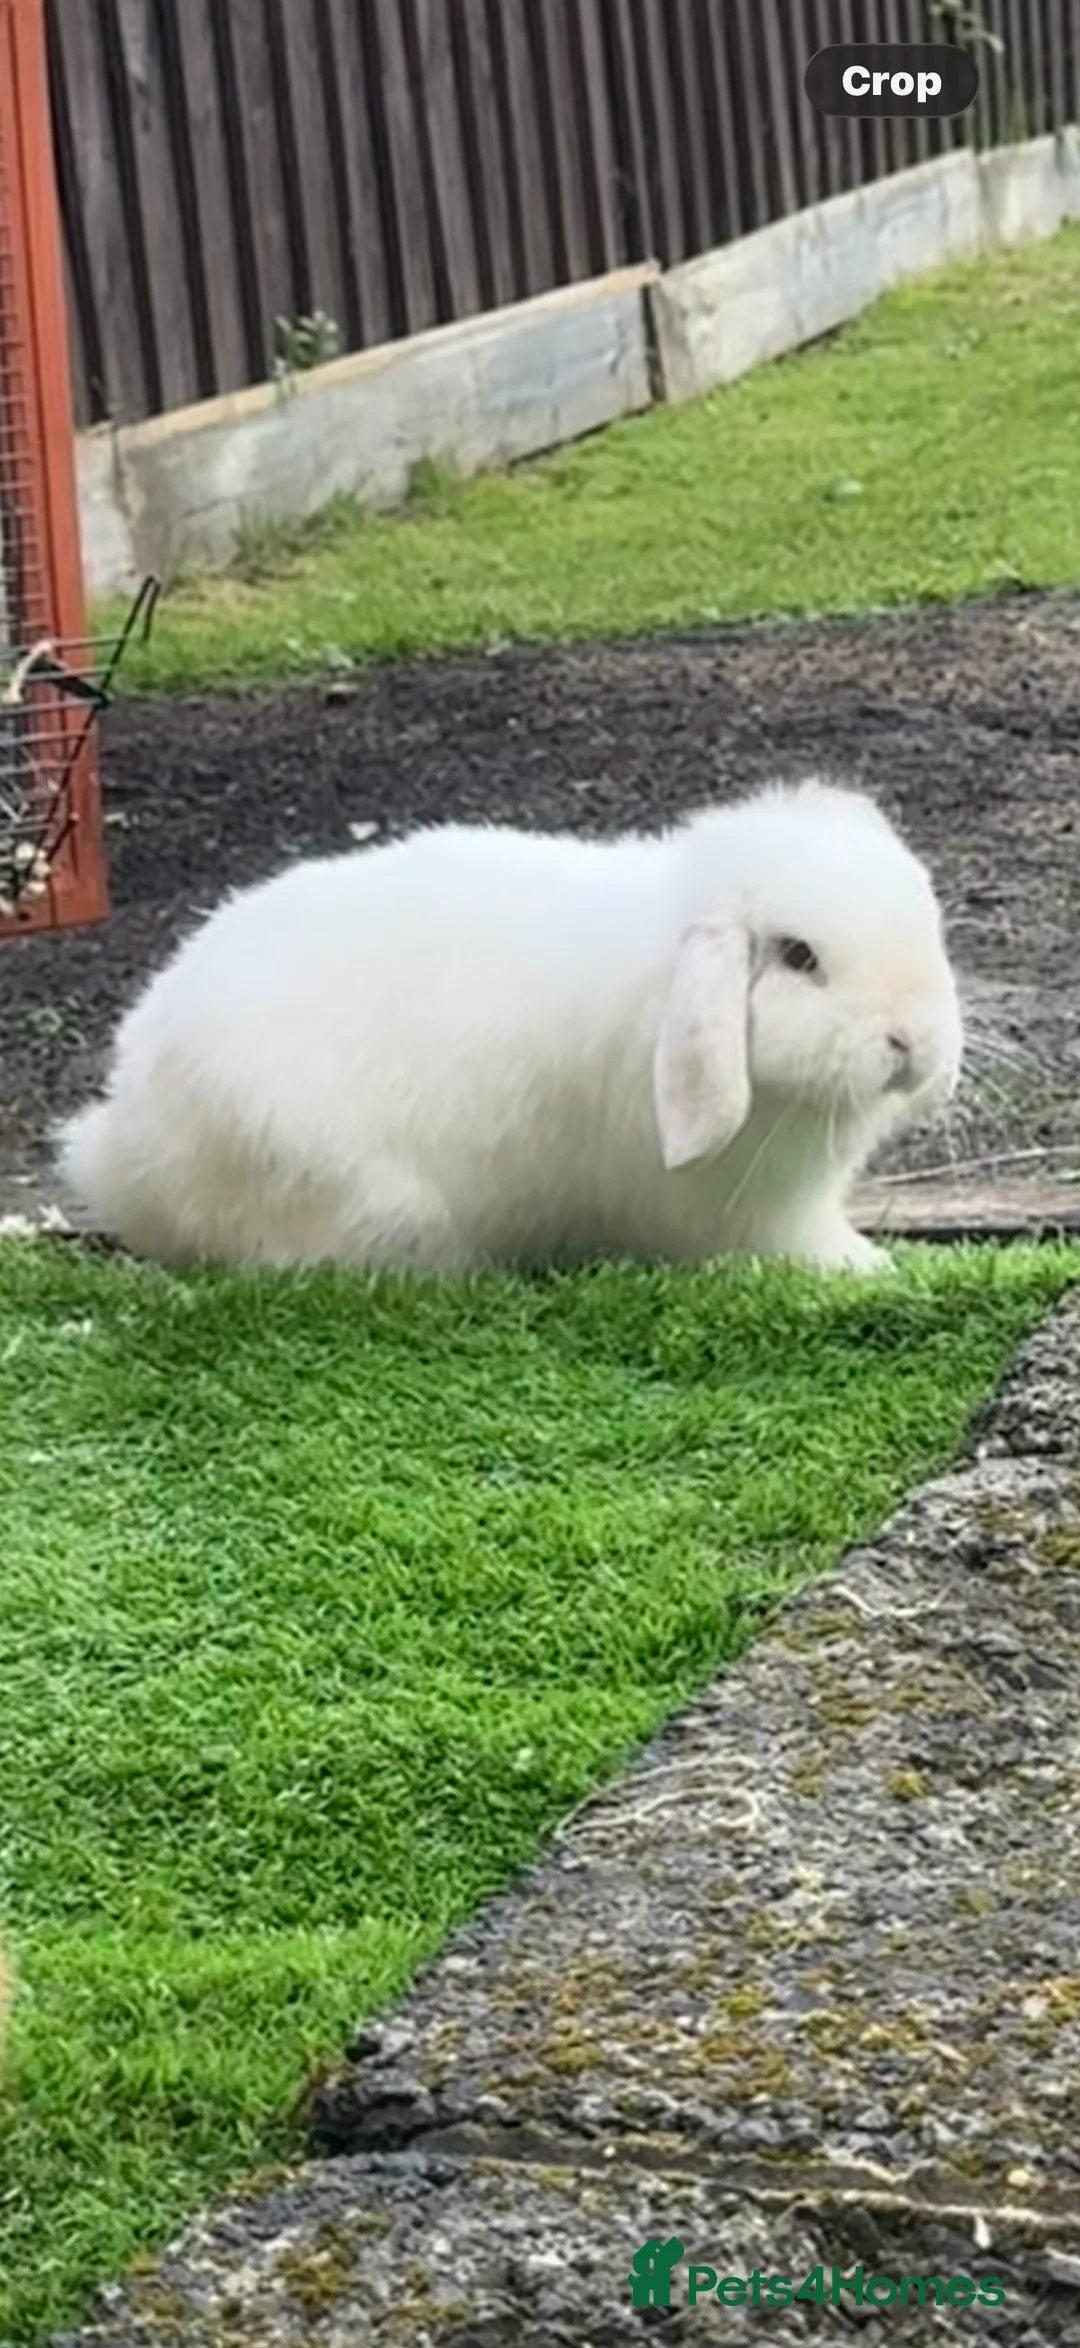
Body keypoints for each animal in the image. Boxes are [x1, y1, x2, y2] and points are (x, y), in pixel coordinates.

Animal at [56, 778, 962, 1278]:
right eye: (800, 956)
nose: (913, 1041)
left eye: (927, 913)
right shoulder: (757, 1214)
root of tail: (122, 1144)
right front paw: (871, 1269)